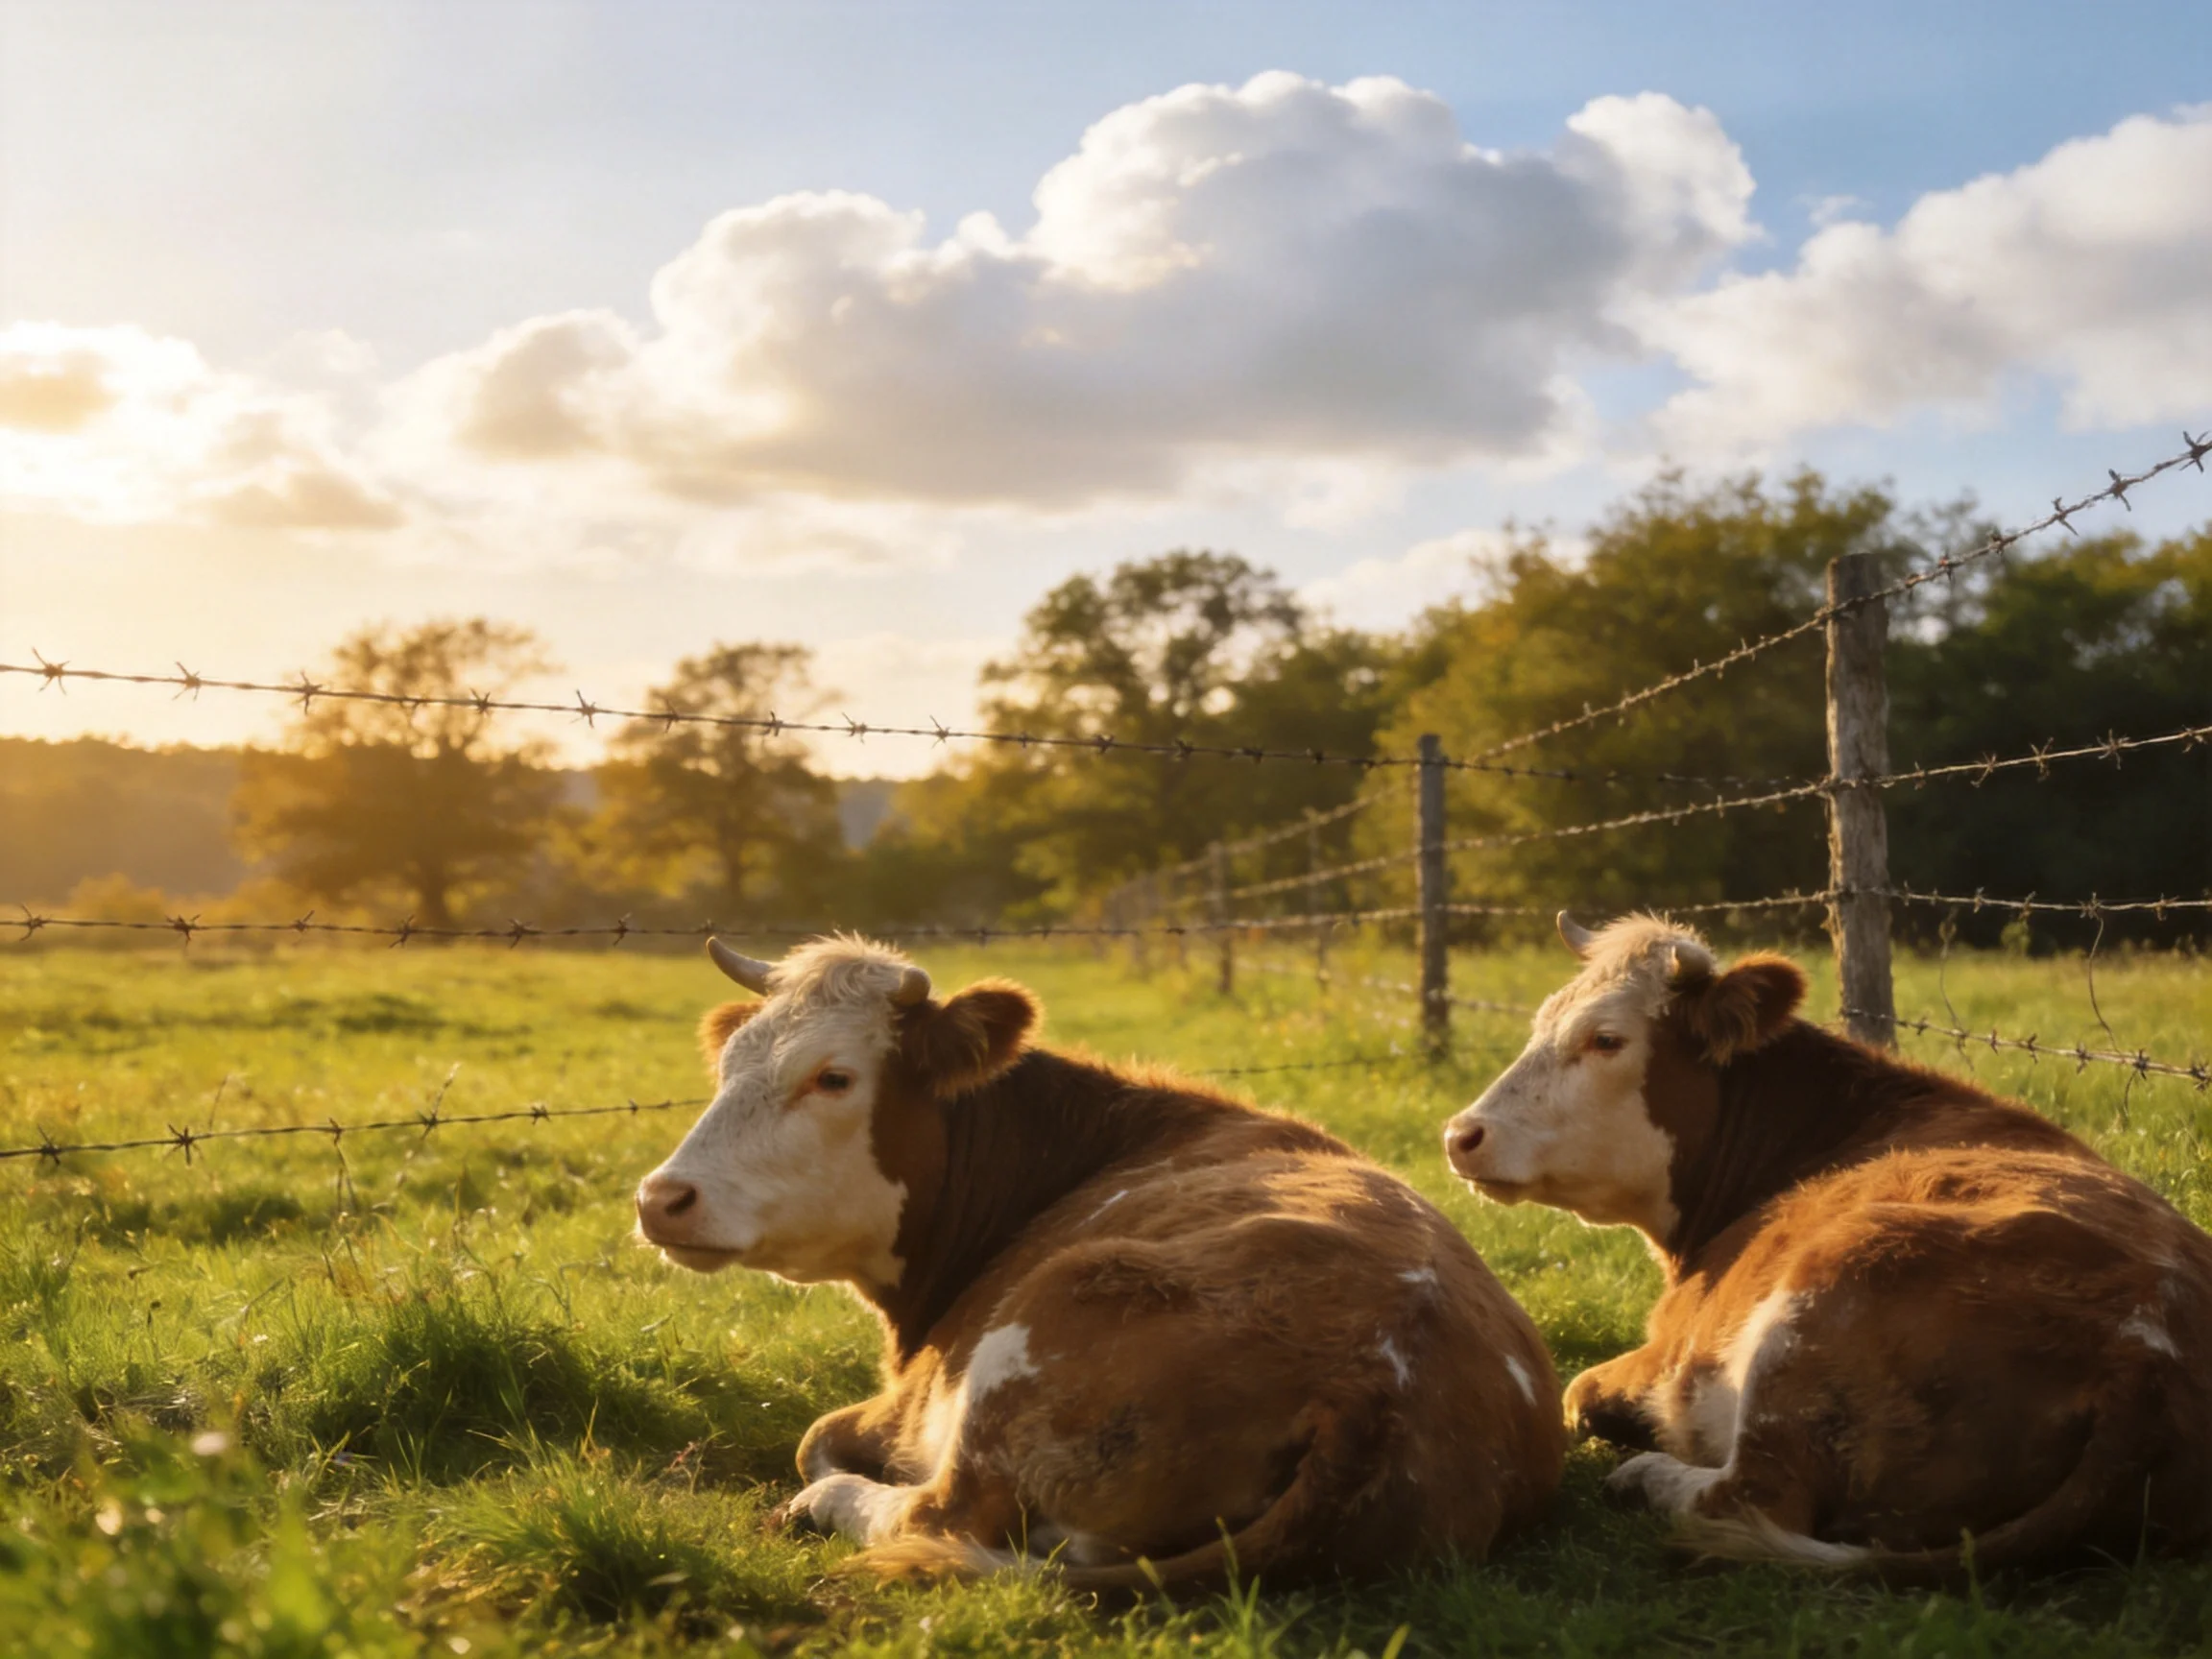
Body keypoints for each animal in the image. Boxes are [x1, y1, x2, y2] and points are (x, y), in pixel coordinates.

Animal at [635, 934, 1563, 1589]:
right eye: (727, 1064)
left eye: (833, 1078)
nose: (661, 1197)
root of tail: (1373, 1382)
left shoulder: (903, 1404)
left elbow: (814, 1439)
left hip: (1032, 1341)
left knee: (937, 1519)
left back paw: (827, 1506)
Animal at [1441, 912, 2212, 1574]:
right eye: (1541, 1023)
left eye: (1605, 1039)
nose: (1461, 1134)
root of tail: (2146, 1359)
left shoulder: (1667, 1350)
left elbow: (1578, 1391)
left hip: (1823, 1302)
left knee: (1748, 1497)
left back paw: (1644, 1477)